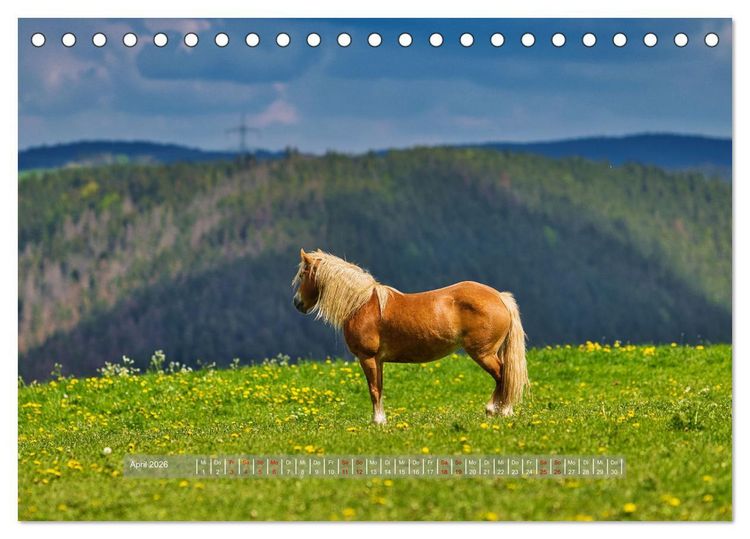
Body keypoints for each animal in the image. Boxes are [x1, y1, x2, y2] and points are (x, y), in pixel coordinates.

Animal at [292, 249, 528, 425]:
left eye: (303, 275)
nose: (297, 303)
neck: (362, 304)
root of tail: (500, 297)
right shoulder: (378, 361)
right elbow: (380, 387)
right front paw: (382, 419)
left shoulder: (367, 358)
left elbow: (373, 389)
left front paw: (377, 422)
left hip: (483, 353)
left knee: (503, 375)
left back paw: (497, 410)